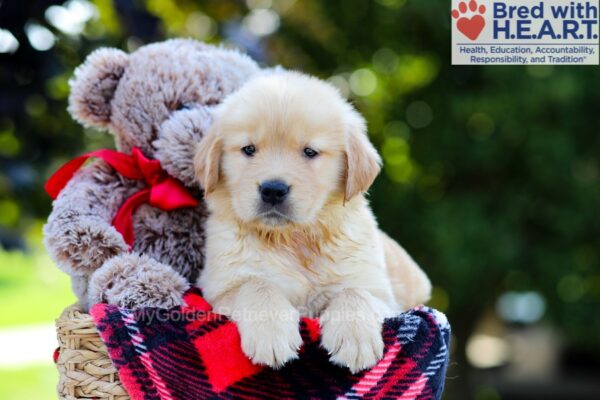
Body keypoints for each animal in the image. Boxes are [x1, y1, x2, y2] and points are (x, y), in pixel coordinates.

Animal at [193, 70, 432, 374]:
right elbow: (256, 285)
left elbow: (355, 292)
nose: (273, 190)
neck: (294, 238)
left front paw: (355, 339)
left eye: (310, 152)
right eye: (248, 149)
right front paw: (271, 334)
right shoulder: (221, 287)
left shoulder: (383, 296)